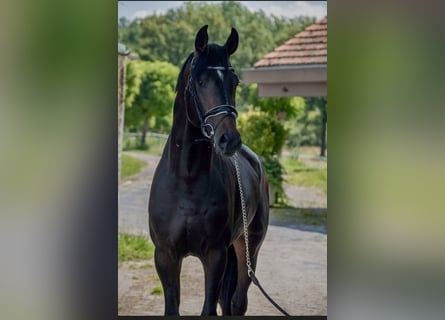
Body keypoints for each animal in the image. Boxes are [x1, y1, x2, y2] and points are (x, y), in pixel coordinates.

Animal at [148, 25, 268, 316]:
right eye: (200, 81)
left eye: (234, 82)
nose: (229, 140)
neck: (187, 179)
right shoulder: (165, 256)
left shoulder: (215, 256)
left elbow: (209, 309)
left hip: (248, 248)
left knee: (236, 302)